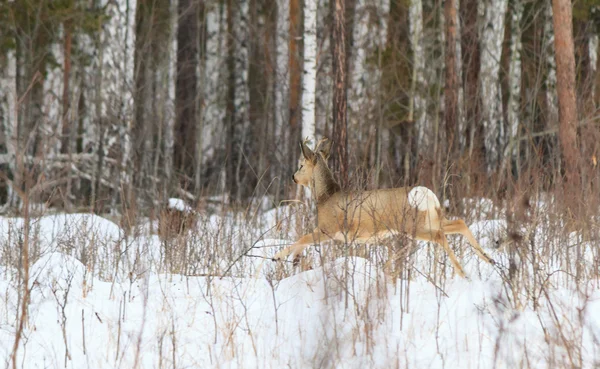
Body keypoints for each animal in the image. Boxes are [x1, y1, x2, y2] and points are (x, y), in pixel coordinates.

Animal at [274, 137, 494, 276]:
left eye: (301, 165)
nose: (293, 177)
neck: (325, 196)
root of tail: (427, 195)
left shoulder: (329, 228)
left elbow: (303, 238)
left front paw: (278, 256)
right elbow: (303, 240)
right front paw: (294, 259)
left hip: (414, 225)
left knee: (440, 236)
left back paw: (462, 271)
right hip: (433, 218)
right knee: (460, 222)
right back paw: (488, 258)